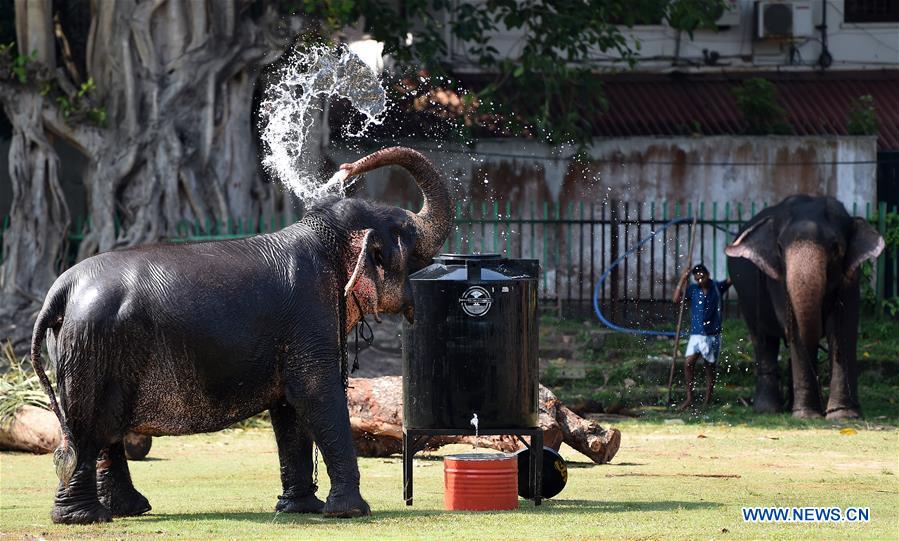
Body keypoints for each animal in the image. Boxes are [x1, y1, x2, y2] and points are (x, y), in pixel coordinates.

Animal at [30, 146, 454, 520]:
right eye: (405, 232)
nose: (347, 167)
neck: (322, 239)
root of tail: (62, 287)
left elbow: (289, 409)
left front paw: (301, 509)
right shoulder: (309, 314)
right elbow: (316, 394)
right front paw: (350, 512)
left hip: (84, 347)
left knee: (104, 430)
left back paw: (127, 510)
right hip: (91, 346)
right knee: (88, 429)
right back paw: (84, 517)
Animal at [724, 194, 884, 418]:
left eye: (835, 248)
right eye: (779, 248)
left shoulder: (851, 277)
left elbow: (842, 330)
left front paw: (843, 415)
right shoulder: (777, 281)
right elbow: (797, 331)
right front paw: (808, 416)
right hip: (746, 299)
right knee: (764, 340)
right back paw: (768, 410)